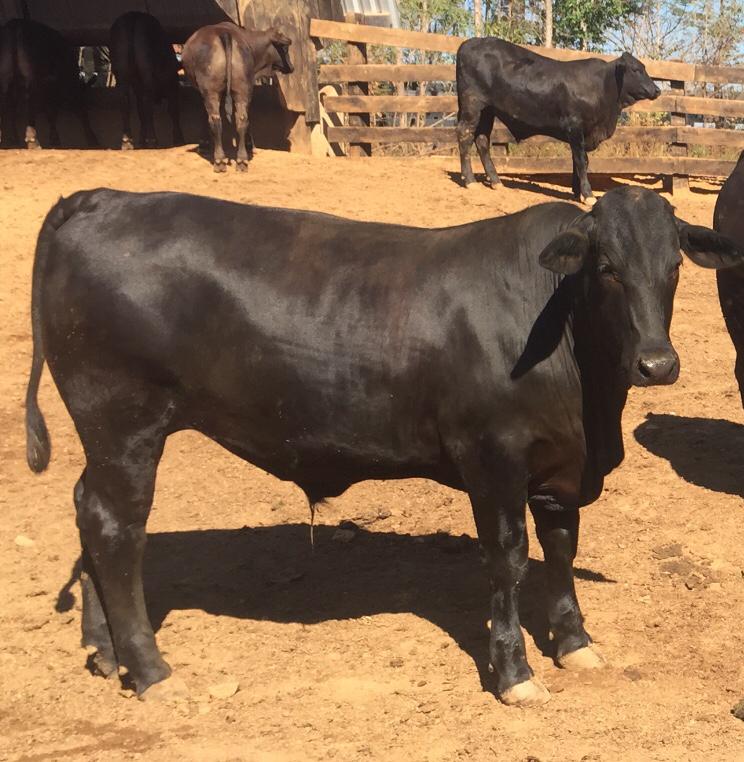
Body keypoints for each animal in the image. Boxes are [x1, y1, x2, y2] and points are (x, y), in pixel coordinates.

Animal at [0, 18, 97, 148]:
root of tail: (15, 24)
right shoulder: (67, 87)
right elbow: (75, 110)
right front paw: (92, 139)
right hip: (31, 79)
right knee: (30, 103)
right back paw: (33, 141)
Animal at [26, 186, 740, 708]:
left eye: (675, 266)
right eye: (608, 269)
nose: (657, 364)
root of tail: (99, 199)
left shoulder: (563, 469)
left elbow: (561, 551)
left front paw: (573, 641)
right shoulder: (493, 460)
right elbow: (508, 562)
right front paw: (514, 673)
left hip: (108, 438)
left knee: (89, 511)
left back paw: (104, 651)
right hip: (124, 424)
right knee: (117, 526)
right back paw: (148, 667)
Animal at [182, 23, 292, 174]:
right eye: (285, 48)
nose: (291, 67)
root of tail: (224, 33)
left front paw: (204, 145)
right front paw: (250, 145)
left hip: (211, 92)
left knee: (215, 120)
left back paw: (219, 161)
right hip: (242, 89)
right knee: (242, 119)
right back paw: (242, 160)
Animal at [456, 39, 660, 203]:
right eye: (635, 69)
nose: (657, 90)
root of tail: (468, 43)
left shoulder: (582, 134)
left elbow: (580, 161)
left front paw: (577, 192)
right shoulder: (575, 128)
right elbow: (581, 161)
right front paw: (588, 195)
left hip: (487, 111)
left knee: (482, 141)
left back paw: (496, 181)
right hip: (471, 106)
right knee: (465, 137)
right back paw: (470, 181)